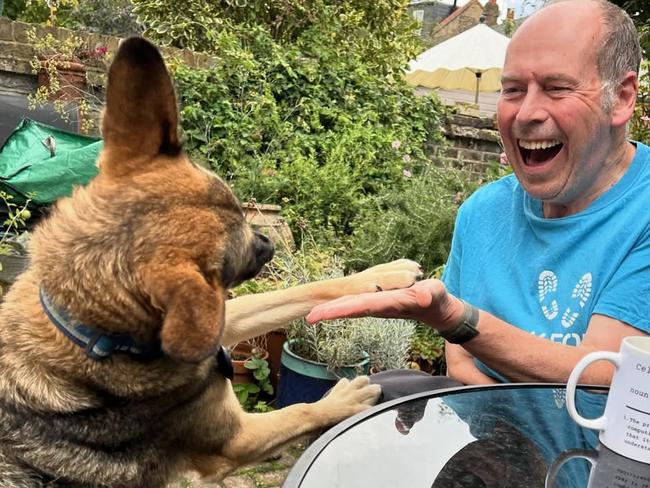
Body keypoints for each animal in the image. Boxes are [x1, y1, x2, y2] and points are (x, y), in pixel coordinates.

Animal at [0, 38, 420, 488]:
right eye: (233, 259)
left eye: (238, 208)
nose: (269, 244)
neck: (91, 332)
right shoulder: (236, 440)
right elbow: (302, 409)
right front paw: (344, 396)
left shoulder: (219, 314)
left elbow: (300, 292)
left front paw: (384, 275)